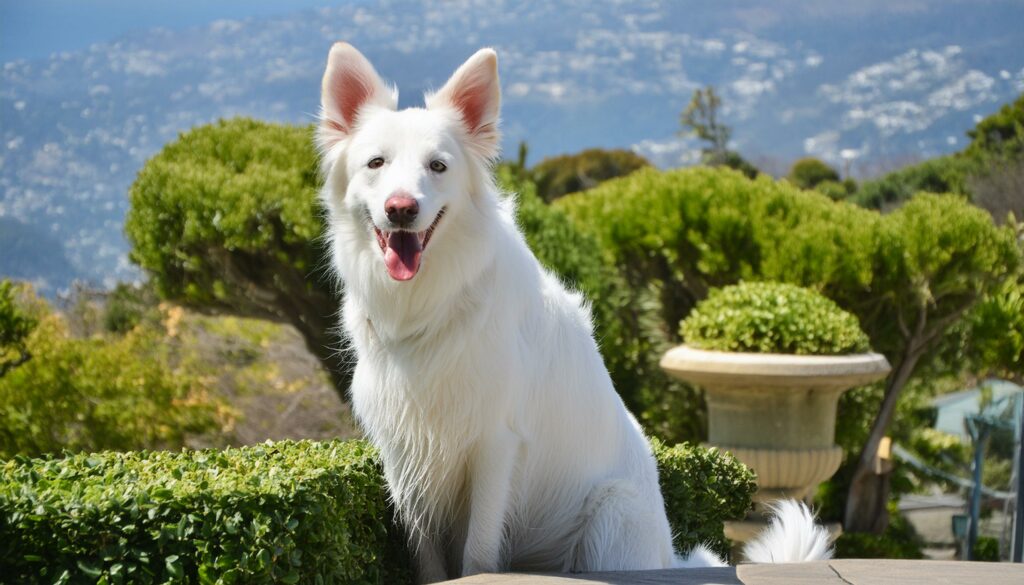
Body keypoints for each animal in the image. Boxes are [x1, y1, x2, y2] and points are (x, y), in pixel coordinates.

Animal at [313, 44, 831, 581]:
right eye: (376, 163)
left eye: (438, 166)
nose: (401, 209)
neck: (433, 303)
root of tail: (669, 553)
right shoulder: (406, 454)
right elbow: (428, 559)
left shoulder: (495, 445)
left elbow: (477, 554)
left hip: (610, 516)